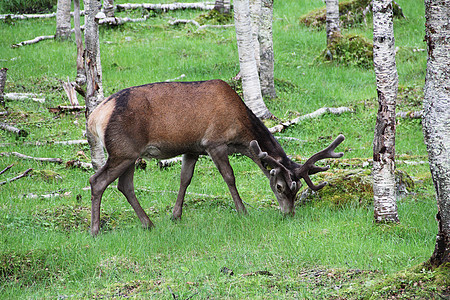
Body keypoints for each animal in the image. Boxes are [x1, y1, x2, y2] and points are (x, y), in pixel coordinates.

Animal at [87, 79, 344, 237]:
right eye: (279, 186)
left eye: (297, 188)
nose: (289, 213)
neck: (240, 134)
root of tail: (95, 117)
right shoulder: (215, 143)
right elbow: (229, 177)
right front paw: (243, 211)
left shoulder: (192, 148)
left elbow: (185, 179)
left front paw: (176, 216)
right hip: (122, 150)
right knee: (96, 181)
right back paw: (95, 230)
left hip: (130, 154)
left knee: (124, 185)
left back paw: (148, 223)